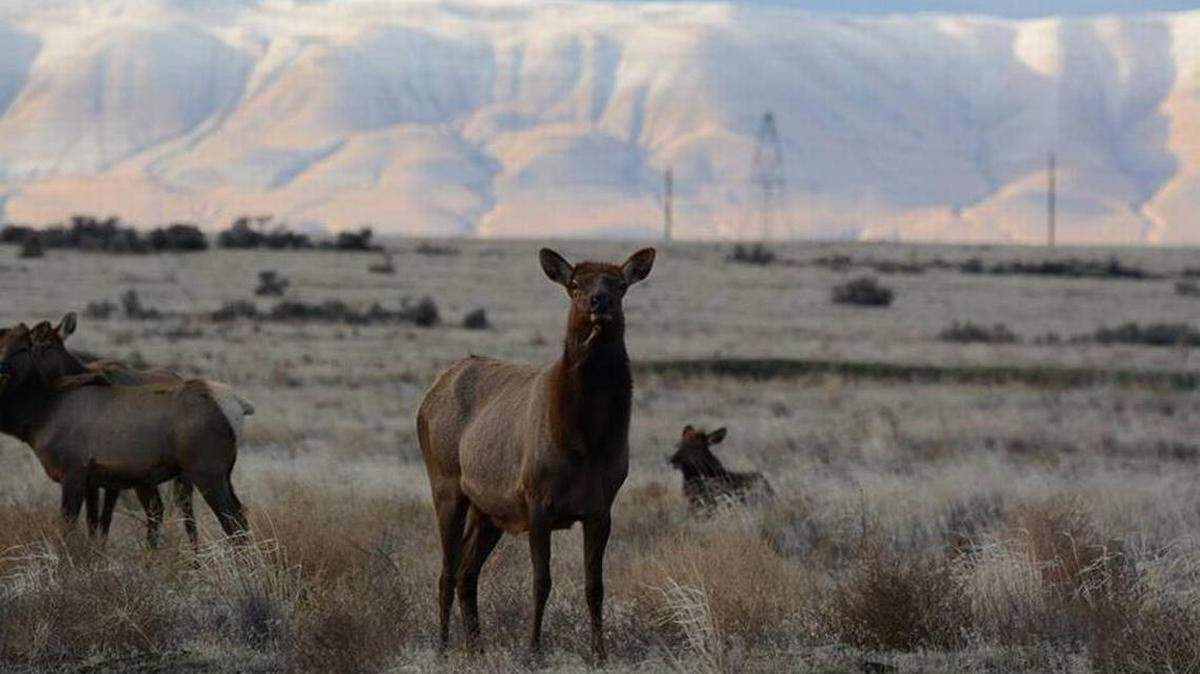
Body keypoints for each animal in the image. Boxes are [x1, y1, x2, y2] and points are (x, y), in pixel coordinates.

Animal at [0, 322, 251, 541]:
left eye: (23, 347)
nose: (2, 370)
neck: (42, 415)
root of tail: (237, 405)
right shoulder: (94, 480)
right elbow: (93, 525)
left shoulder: (74, 472)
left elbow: (71, 528)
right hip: (220, 474)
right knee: (239, 515)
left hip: (206, 472)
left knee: (231, 520)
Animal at [417, 247, 655, 661]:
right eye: (574, 284)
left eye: (620, 285)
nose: (600, 302)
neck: (584, 442)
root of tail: (428, 397)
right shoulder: (536, 499)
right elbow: (541, 581)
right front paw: (533, 650)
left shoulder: (601, 507)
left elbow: (596, 586)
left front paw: (600, 653)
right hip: (444, 479)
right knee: (446, 571)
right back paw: (444, 647)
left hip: (488, 509)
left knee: (466, 571)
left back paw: (477, 648)